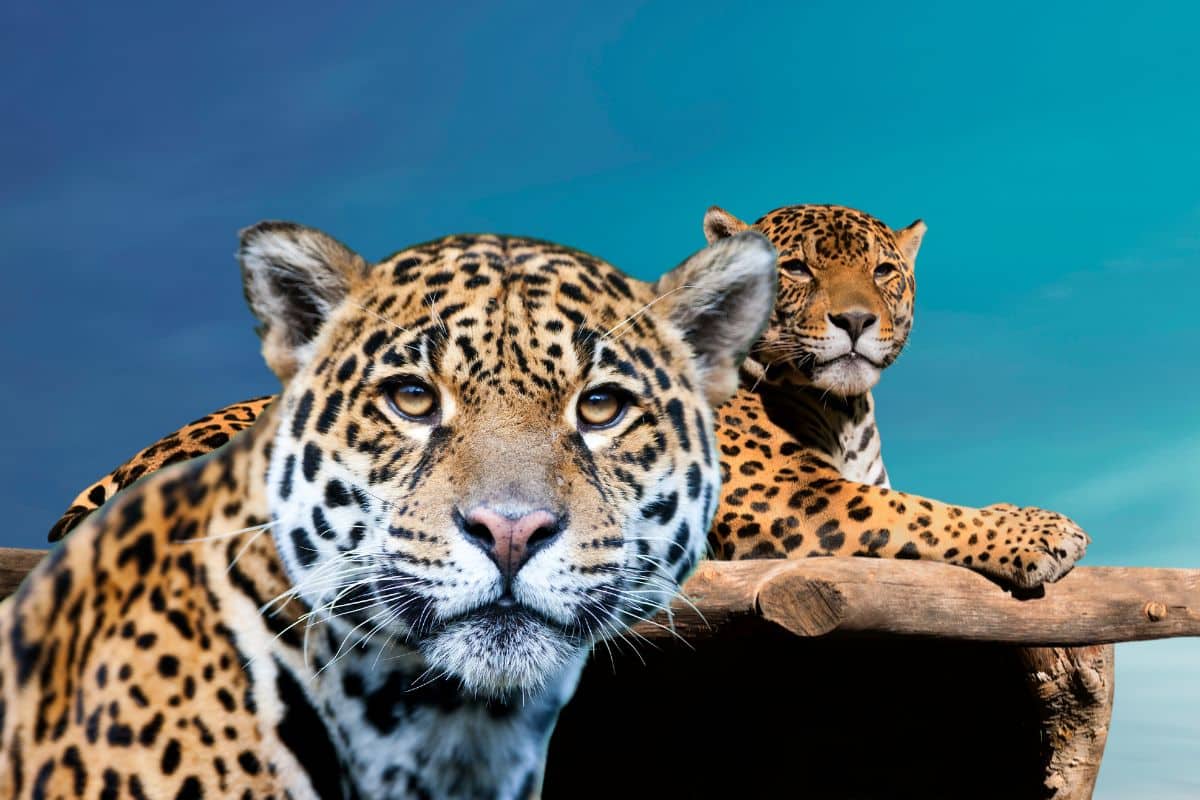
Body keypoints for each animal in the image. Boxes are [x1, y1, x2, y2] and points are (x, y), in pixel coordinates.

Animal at [47, 204, 1089, 590]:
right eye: (796, 268)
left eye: (883, 270)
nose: (856, 322)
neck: (841, 412)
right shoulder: (789, 500)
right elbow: (918, 515)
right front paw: (1040, 531)